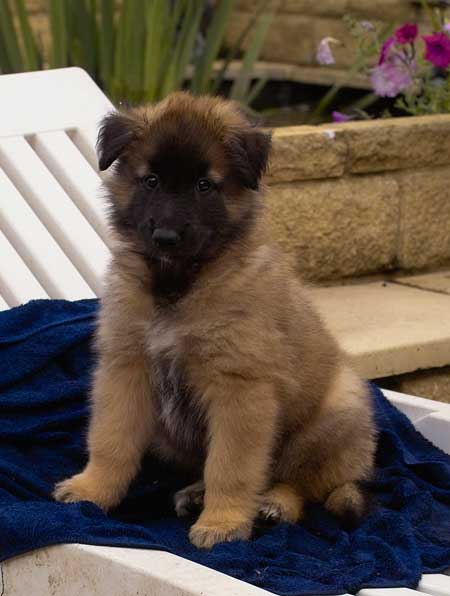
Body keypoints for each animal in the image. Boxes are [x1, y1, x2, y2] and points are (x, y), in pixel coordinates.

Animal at [54, 92, 376, 549]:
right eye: (151, 181)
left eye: (204, 186)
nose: (165, 237)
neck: (178, 283)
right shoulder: (125, 368)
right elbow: (110, 440)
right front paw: (92, 490)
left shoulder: (239, 389)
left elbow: (232, 466)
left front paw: (223, 523)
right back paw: (196, 493)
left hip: (336, 412)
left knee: (299, 484)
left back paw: (273, 504)